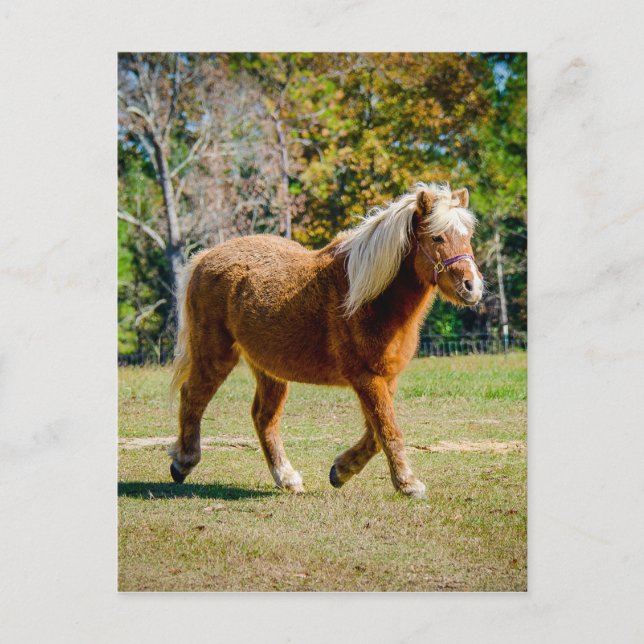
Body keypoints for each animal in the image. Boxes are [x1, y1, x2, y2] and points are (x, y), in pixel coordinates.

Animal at [168, 182, 483, 499]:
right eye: (437, 237)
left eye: (467, 236)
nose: (472, 286)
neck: (366, 297)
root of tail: (204, 258)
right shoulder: (366, 378)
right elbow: (388, 430)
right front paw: (408, 483)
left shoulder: (386, 378)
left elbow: (375, 433)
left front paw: (341, 470)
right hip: (214, 355)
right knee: (193, 396)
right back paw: (183, 462)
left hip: (269, 369)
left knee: (263, 416)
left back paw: (286, 477)